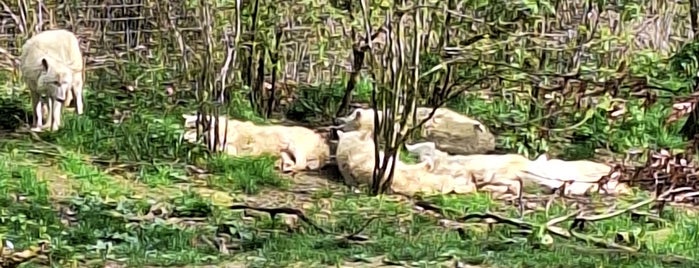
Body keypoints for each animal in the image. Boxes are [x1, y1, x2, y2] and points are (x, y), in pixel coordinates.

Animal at [182, 114, 332, 173]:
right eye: (185, 127)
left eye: (192, 128)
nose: (183, 139)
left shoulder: (230, 149)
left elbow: (224, 156)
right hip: (285, 151)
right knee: (292, 162)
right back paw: (281, 166)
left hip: (294, 145)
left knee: (301, 164)